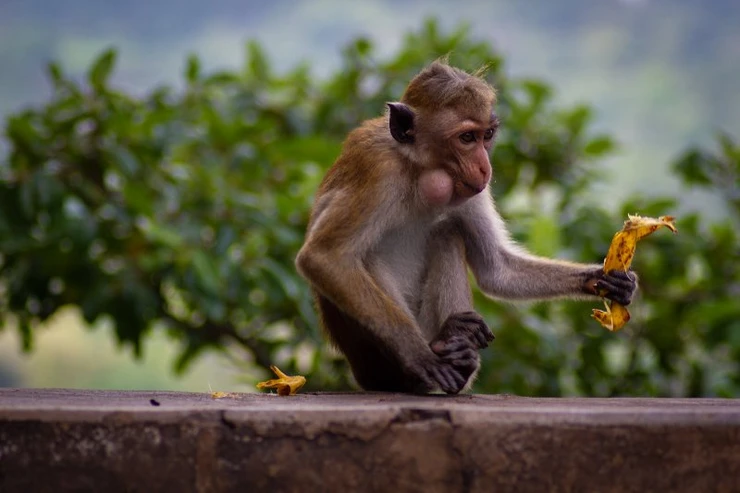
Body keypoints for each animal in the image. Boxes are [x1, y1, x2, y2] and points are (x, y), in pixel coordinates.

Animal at [294, 60, 636, 392]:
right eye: (466, 138)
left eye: (487, 135)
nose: (485, 167)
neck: (416, 170)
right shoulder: (379, 170)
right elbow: (324, 257)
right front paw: (420, 359)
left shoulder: (472, 189)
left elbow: (496, 269)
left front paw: (602, 279)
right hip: (370, 362)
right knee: (366, 255)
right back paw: (419, 367)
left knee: (446, 233)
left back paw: (458, 353)